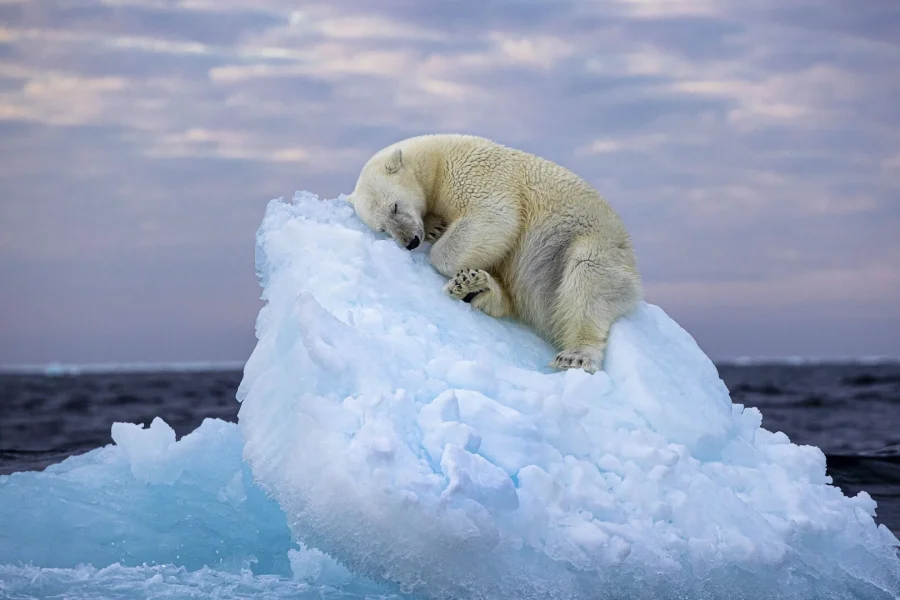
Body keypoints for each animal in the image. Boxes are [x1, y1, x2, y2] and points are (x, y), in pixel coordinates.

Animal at [348, 134, 644, 372]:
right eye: (382, 228)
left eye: (394, 207)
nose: (410, 241)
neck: (436, 160)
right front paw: (435, 227)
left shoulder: (474, 173)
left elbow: (495, 218)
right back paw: (475, 287)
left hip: (589, 244)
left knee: (588, 278)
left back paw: (576, 355)